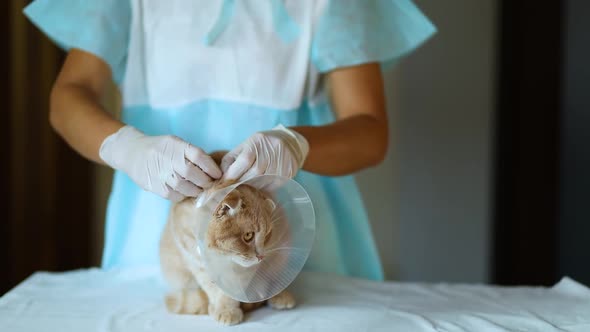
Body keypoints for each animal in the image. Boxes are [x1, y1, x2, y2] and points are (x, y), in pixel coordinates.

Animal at [160, 152, 296, 326]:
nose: (261, 257)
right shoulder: (197, 262)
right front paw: (224, 309)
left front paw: (228, 309)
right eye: (248, 236)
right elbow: (214, 289)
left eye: (267, 235)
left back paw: (280, 295)